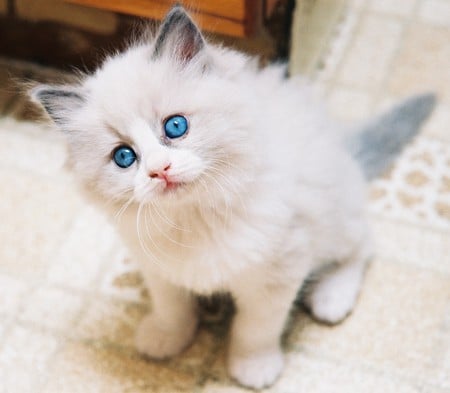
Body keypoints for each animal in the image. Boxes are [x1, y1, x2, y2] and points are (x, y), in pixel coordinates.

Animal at [29, 6, 436, 388]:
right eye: (124, 157)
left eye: (175, 126)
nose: (160, 170)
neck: (195, 220)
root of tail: (345, 147)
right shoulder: (159, 269)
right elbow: (172, 307)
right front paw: (166, 338)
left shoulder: (277, 271)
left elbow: (256, 328)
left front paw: (253, 367)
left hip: (334, 218)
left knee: (363, 246)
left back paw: (330, 299)